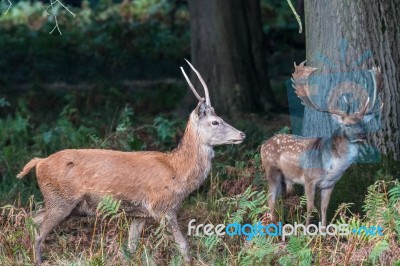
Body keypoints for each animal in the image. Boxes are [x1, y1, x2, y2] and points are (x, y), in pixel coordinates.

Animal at [17, 59, 245, 264]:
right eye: (215, 122)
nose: (242, 134)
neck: (177, 170)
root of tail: (39, 162)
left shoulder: (140, 214)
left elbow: (131, 247)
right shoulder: (163, 206)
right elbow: (183, 245)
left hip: (65, 204)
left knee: (32, 218)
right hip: (61, 199)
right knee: (39, 233)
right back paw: (38, 260)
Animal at [260, 61, 382, 227]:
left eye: (363, 124)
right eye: (347, 125)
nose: (362, 135)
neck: (331, 168)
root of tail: (263, 145)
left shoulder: (329, 184)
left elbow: (324, 208)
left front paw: (323, 231)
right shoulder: (309, 180)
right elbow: (311, 208)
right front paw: (306, 231)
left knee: (277, 198)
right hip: (271, 170)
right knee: (270, 199)